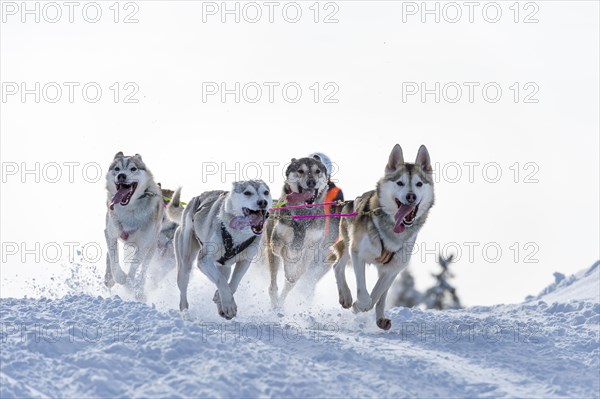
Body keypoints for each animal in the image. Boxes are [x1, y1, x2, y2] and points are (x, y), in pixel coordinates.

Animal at [168, 180, 274, 318]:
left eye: (266, 192)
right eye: (247, 193)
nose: (263, 202)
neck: (237, 234)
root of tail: (195, 198)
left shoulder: (245, 261)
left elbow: (233, 284)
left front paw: (221, 299)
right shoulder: (204, 260)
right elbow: (221, 281)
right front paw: (229, 305)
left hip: (225, 267)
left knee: (224, 276)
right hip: (185, 263)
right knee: (184, 291)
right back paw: (185, 312)